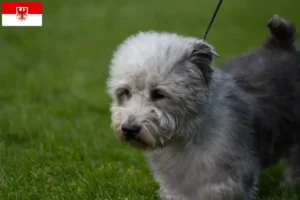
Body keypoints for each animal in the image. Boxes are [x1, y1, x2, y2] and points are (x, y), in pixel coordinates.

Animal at [106, 14, 300, 199]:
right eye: (125, 92)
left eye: (158, 94)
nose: (129, 129)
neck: (186, 136)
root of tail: (280, 45)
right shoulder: (174, 184)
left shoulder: (230, 178)